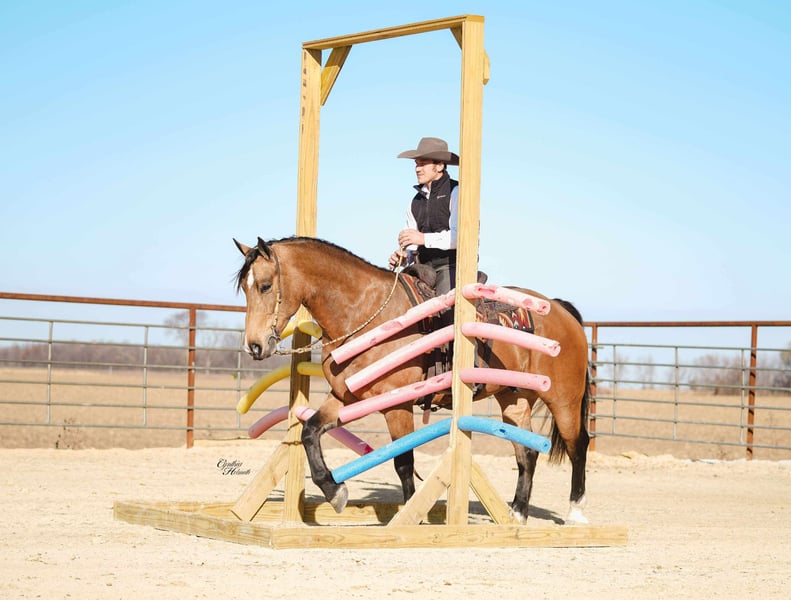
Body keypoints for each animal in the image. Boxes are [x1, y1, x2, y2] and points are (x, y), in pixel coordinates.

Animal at [234, 236, 591, 524]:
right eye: (245, 289)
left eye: (265, 285)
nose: (254, 346)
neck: (366, 314)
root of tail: (561, 310)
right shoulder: (345, 400)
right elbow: (309, 431)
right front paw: (334, 491)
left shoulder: (398, 405)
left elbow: (403, 461)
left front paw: (409, 514)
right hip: (514, 400)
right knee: (527, 452)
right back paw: (516, 513)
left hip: (563, 399)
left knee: (578, 444)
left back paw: (575, 511)